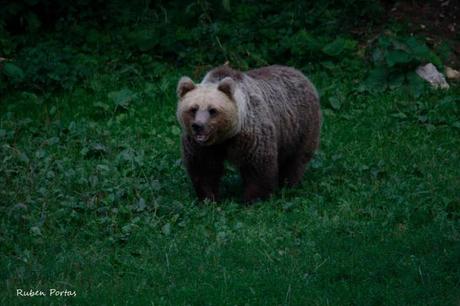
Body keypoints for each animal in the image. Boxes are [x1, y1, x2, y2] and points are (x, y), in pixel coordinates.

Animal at [174, 65, 322, 203]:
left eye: (213, 110)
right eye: (193, 109)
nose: (198, 126)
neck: (224, 137)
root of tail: (298, 72)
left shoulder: (250, 134)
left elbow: (257, 166)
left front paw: (253, 199)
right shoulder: (201, 146)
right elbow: (204, 168)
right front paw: (209, 198)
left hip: (300, 126)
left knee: (296, 158)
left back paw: (287, 184)